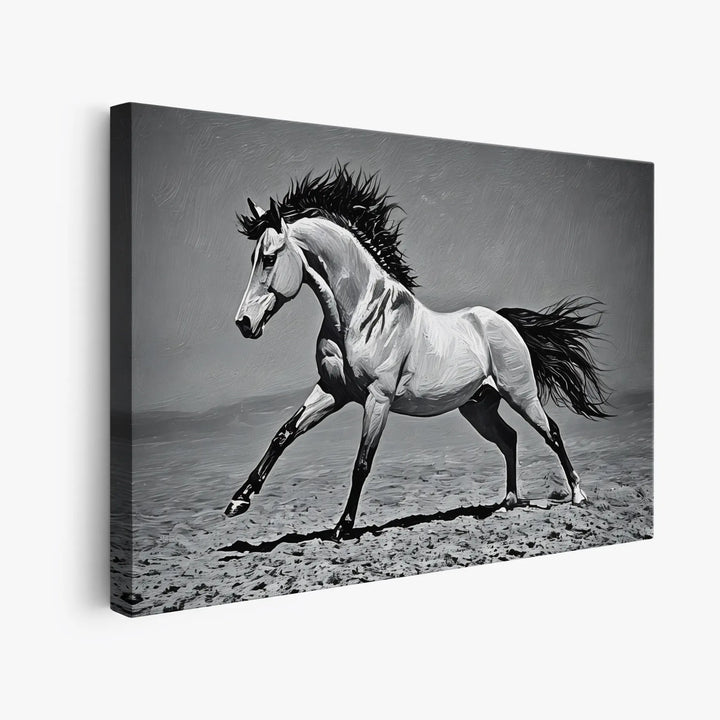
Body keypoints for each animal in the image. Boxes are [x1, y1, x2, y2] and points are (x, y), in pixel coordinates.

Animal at [224, 165, 611, 541]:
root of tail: (502, 321)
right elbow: (283, 434)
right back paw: (508, 502)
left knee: (552, 432)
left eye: (269, 258)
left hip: (521, 394)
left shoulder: (377, 399)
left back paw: (578, 495)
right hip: (479, 407)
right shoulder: (333, 390)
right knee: (509, 439)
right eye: (254, 257)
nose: (244, 322)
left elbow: (362, 462)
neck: (361, 315)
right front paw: (238, 501)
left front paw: (342, 527)